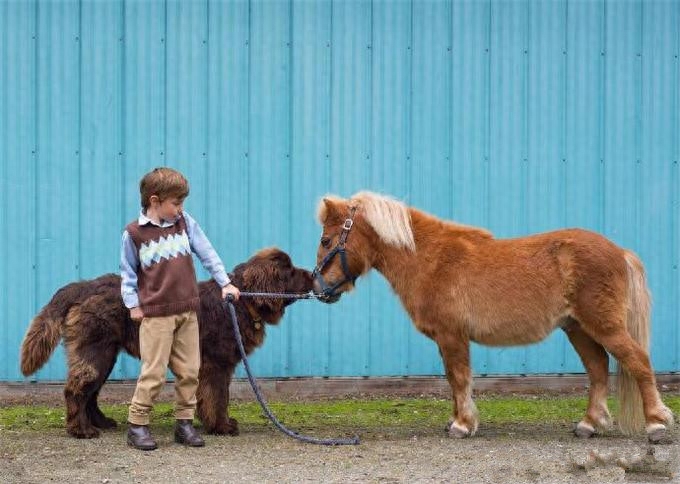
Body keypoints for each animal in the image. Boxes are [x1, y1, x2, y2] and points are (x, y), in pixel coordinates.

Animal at [20, 250, 314, 438]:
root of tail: (84, 287)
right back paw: (81, 430)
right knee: (77, 390)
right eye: (289, 271)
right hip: (95, 351)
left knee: (90, 392)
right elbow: (218, 397)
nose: (312, 275)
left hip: (106, 353)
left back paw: (101, 422)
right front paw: (221, 426)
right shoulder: (216, 364)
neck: (241, 302)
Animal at [314, 190, 676, 442]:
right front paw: (457, 420)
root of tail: (620, 252)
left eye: (326, 240)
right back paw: (589, 424)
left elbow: (459, 378)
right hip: (578, 329)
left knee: (638, 362)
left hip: (603, 325)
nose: (319, 288)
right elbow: (452, 379)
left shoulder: (452, 335)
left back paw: (656, 424)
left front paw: (462, 425)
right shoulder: (447, 339)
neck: (430, 259)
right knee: (598, 369)